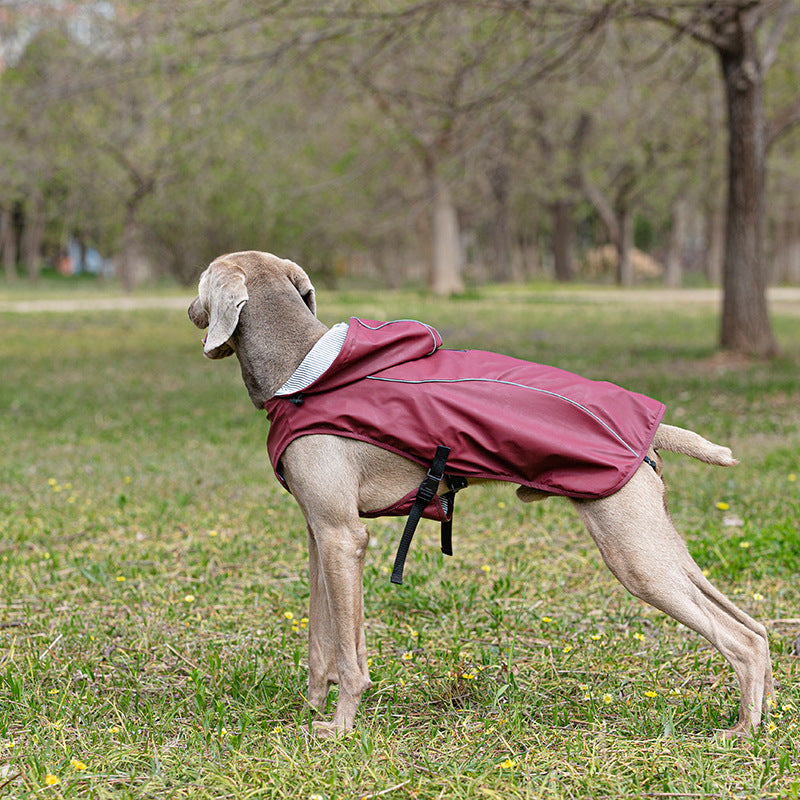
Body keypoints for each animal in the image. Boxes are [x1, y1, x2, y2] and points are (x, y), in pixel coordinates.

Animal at [189, 248, 776, 736]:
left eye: (201, 283)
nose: (192, 310)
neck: (302, 369)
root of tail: (652, 429)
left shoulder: (342, 535)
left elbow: (350, 658)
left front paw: (339, 729)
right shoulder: (320, 536)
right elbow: (324, 641)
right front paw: (311, 711)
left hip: (633, 553)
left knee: (741, 639)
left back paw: (741, 732)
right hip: (657, 545)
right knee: (754, 626)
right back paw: (763, 712)